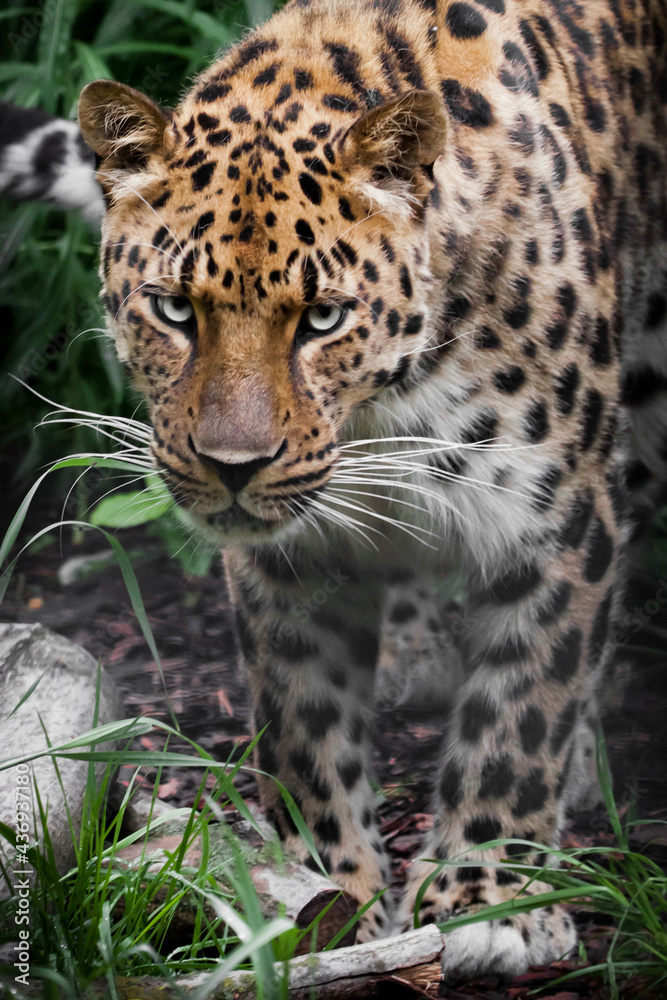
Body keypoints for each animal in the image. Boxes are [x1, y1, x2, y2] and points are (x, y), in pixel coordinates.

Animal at [75, 0, 667, 984]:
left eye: (322, 318)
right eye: (173, 309)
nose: (232, 465)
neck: (379, 414)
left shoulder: (557, 522)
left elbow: (522, 712)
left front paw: (491, 897)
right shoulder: (290, 563)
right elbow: (304, 728)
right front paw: (327, 890)